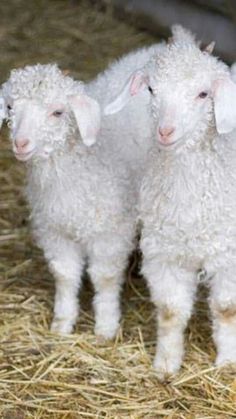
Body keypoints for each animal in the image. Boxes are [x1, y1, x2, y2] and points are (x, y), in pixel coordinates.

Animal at [0, 41, 166, 338]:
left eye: (58, 112)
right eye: (10, 107)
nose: (21, 143)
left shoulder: (111, 232)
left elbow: (105, 277)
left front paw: (106, 326)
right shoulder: (55, 231)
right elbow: (65, 275)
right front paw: (62, 323)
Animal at [104, 27, 236, 380]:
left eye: (204, 94)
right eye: (152, 89)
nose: (165, 131)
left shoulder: (229, 258)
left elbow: (226, 309)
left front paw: (228, 362)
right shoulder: (166, 253)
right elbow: (170, 311)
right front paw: (165, 365)